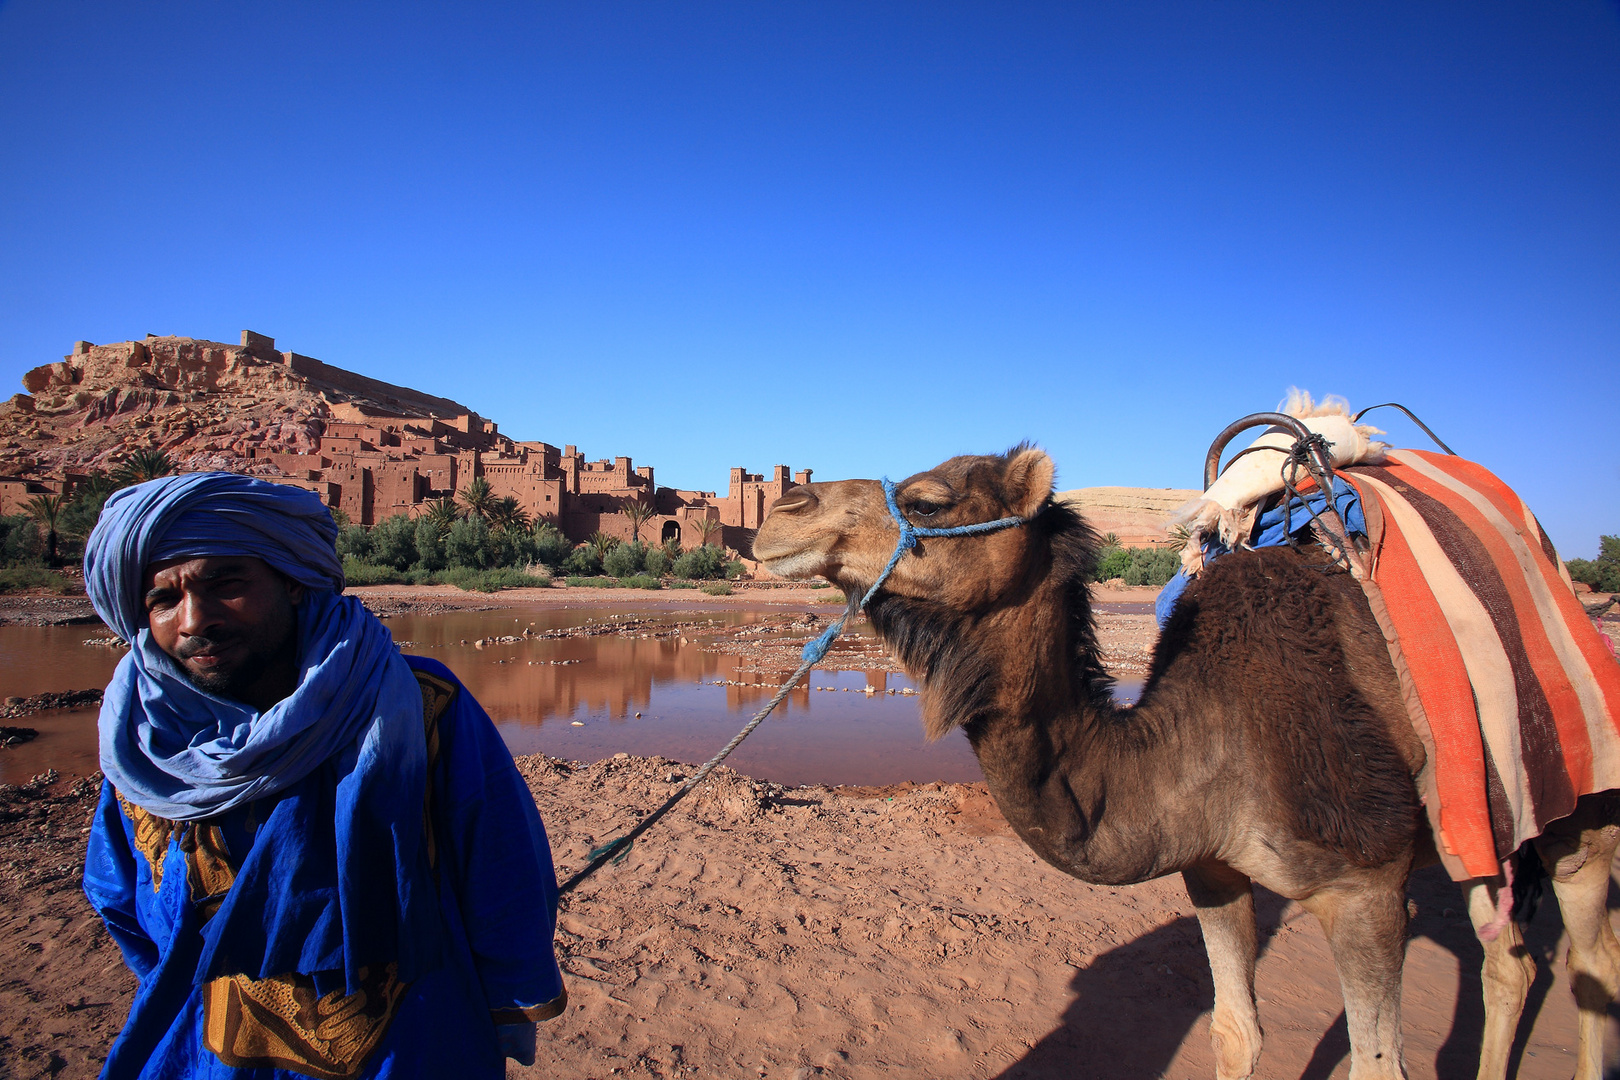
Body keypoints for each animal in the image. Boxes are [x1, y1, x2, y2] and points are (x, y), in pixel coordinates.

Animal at [754, 443, 1620, 1075]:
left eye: (929, 501)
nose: (781, 513)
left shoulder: (1366, 886)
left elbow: (1380, 1065)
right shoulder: (1211, 868)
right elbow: (1236, 1034)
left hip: (1579, 806)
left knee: (1592, 959)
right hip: (1479, 821)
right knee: (1510, 961)